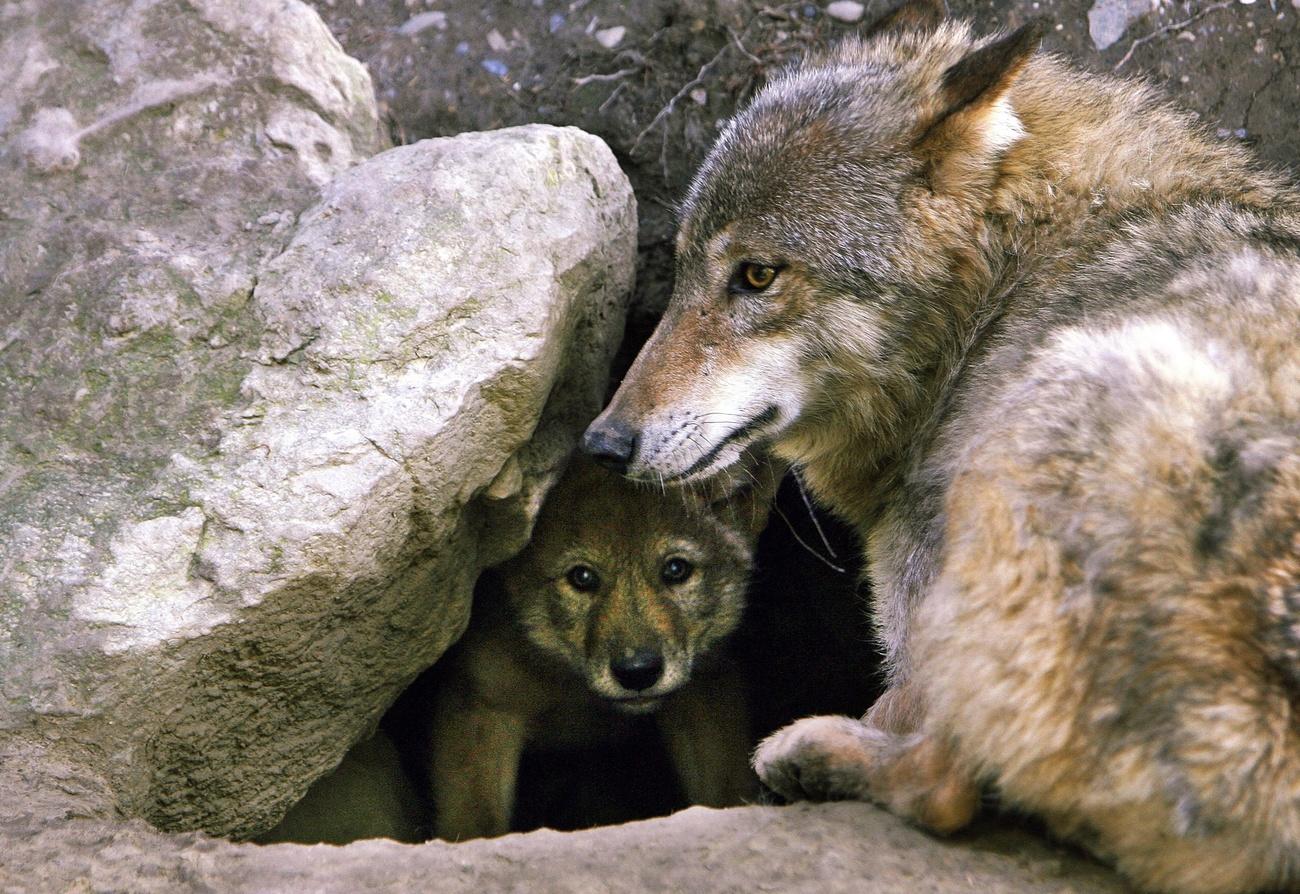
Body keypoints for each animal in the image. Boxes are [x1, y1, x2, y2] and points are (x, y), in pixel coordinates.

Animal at [585, 3, 1300, 888]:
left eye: (755, 275)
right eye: (681, 271)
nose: (602, 443)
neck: (999, 290)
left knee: (945, 789)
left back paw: (811, 753)